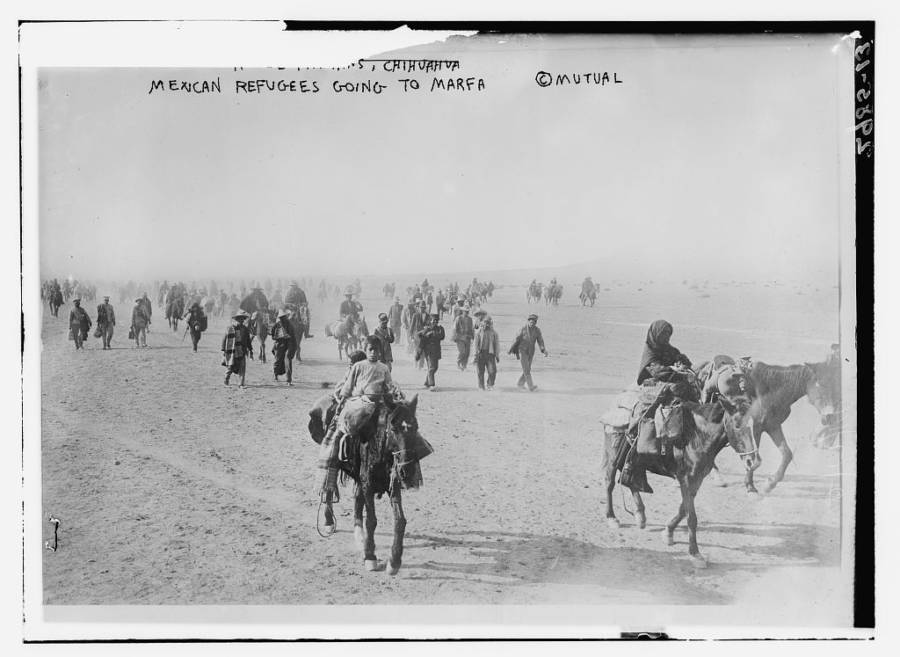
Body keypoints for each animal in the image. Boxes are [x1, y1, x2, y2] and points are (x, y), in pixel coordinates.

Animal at [600, 398, 764, 568]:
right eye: (737, 425)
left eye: (756, 424)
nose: (753, 461)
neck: (696, 437)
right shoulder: (686, 479)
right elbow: (691, 517)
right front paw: (695, 554)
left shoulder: (696, 480)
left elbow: (683, 509)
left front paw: (668, 532)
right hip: (613, 458)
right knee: (609, 483)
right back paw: (612, 517)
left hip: (635, 462)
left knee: (631, 480)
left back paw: (640, 514)